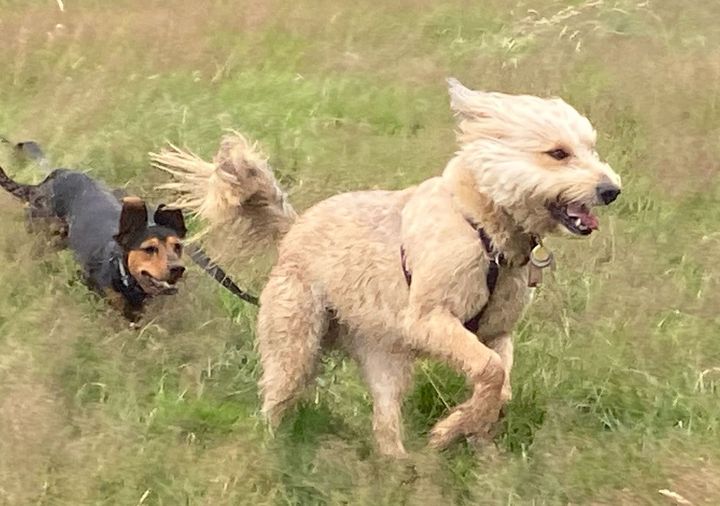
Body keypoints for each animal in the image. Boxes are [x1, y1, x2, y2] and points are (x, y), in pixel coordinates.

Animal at [0, 140, 186, 318]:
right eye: (149, 249)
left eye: (177, 246)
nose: (178, 269)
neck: (118, 267)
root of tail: (47, 181)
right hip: (45, 236)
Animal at [155, 78, 620, 454]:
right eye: (557, 153)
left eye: (591, 148)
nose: (611, 189)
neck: (482, 226)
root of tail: (294, 230)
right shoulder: (430, 318)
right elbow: (489, 371)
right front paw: (449, 430)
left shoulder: (496, 332)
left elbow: (500, 384)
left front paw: (467, 426)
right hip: (295, 345)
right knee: (276, 401)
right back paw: (271, 451)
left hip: (384, 359)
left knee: (384, 424)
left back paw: (400, 469)